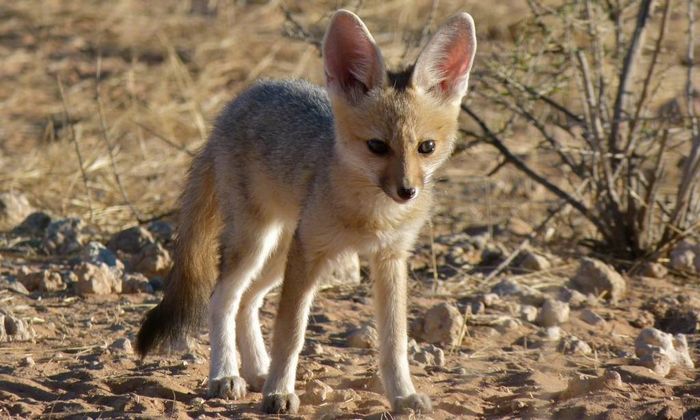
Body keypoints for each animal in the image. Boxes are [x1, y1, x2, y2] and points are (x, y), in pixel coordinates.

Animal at [137, 8, 476, 416]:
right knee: (223, 298)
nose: (407, 191)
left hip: (280, 252)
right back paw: (226, 375)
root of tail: (239, 101)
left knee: (249, 301)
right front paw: (279, 392)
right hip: (258, 245)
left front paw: (403, 395)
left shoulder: (390, 257)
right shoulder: (310, 253)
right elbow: (291, 332)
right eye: (377, 146)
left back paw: (257, 371)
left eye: (426, 147)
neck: (372, 215)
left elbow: (394, 340)